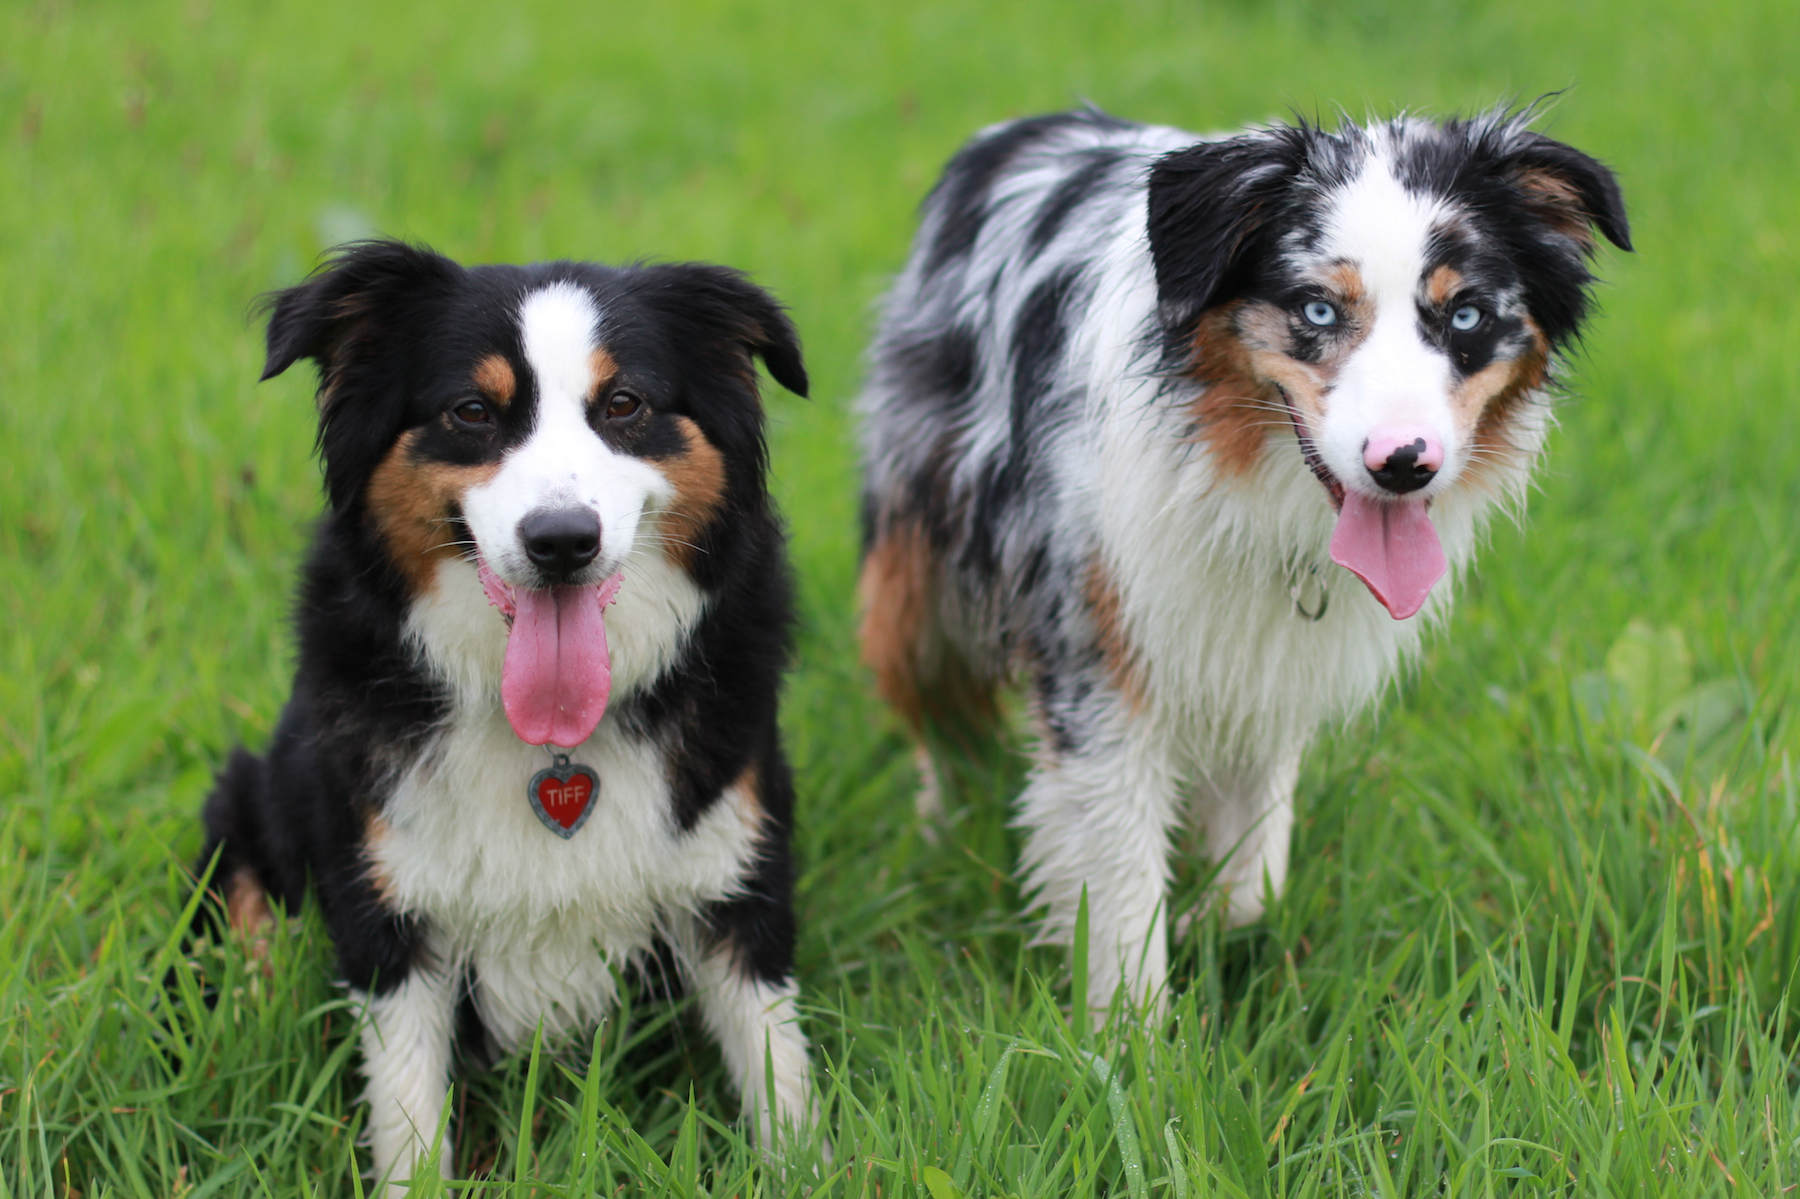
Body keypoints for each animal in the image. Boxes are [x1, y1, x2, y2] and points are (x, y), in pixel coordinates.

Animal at [193, 237, 813, 1180]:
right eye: (472, 411)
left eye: (624, 404)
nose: (562, 541)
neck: (554, 745)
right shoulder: (392, 919)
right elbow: (409, 1118)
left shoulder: (735, 873)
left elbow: (783, 1082)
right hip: (242, 804)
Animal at [856, 104, 1634, 1015]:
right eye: (1318, 310)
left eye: (1468, 316)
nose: (1403, 463)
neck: (1244, 481)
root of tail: (1026, 125)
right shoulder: (1097, 648)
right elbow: (1120, 881)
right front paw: (1131, 1036)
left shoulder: (1266, 665)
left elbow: (1255, 873)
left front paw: (1214, 930)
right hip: (916, 570)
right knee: (937, 709)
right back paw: (944, 825)